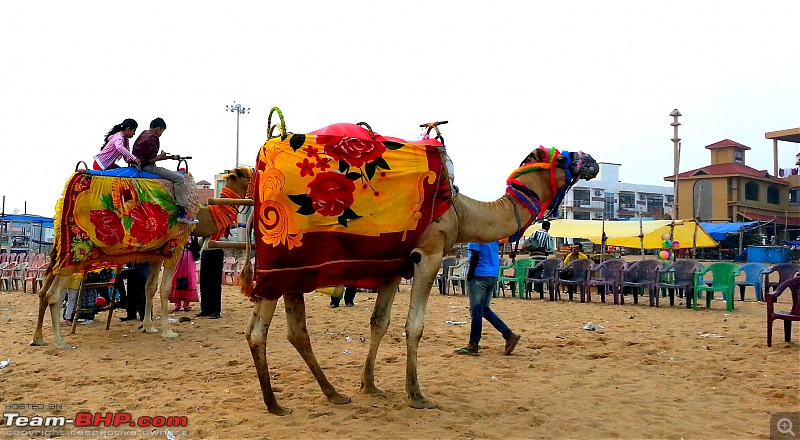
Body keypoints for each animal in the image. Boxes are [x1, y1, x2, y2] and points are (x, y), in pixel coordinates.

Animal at [32, 167, 253, 348]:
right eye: (248, 174)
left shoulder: (156, 252)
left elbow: (150, 287)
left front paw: (149, 326)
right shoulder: (175, 246)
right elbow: (164, 289)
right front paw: (168, 331)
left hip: (58, 251)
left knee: (43, 292)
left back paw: (38, 339)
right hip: (75, 254)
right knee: (54, 294)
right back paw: (61, 342)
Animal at [241, 111, 596, 414]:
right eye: (563, 157)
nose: (592, 161)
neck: (461, 211)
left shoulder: (394, 265)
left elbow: (379, 322)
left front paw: (369, 386)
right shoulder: (429, 255)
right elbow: (414, 326)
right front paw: (416, 394)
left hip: (295, 270)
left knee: (291, 332)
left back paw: (330, 394)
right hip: (280, 261)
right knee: (262, 331)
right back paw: (276, 403)